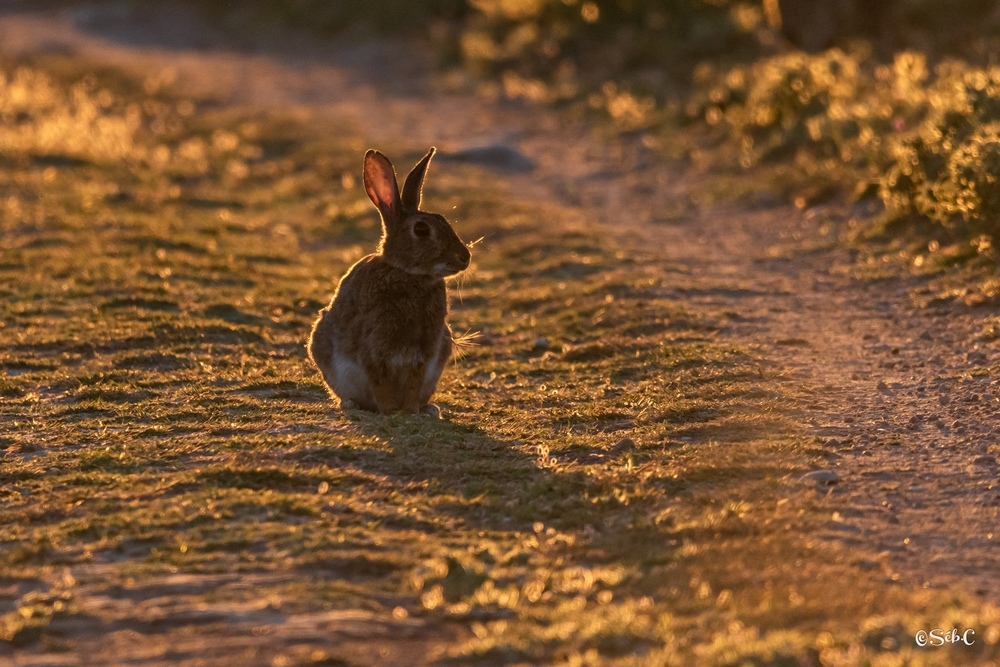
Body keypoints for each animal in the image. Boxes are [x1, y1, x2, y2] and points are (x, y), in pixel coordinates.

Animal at [307, 147, 471, 417]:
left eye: (445, 220)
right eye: (422, 230)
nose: (465, 258)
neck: (408, 273)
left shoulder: (424, 352)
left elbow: (414, 382)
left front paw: (411, 411)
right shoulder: (372, 346)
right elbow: (379, 381)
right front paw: (389, 410)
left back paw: (429, 408)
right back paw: (352, 404)